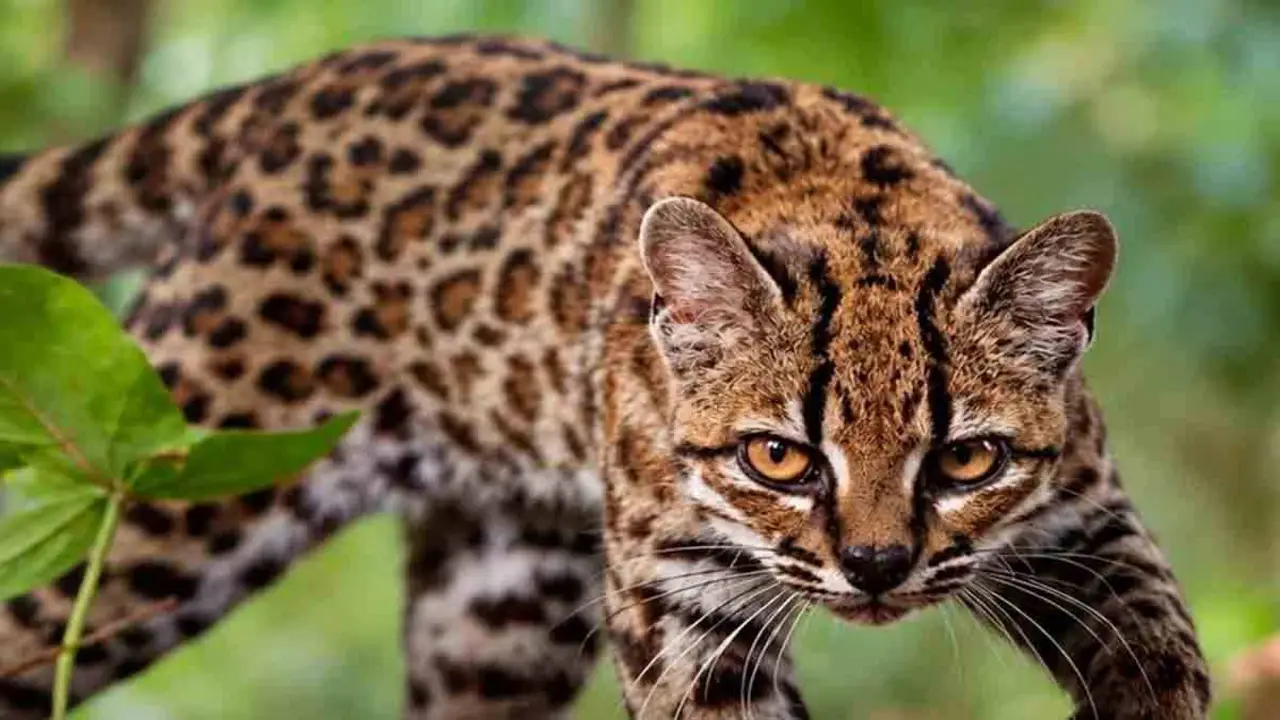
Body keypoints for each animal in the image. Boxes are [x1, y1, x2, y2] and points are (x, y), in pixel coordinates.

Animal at [0, 34, 1210, 719]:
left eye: (967, 460)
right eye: (778, 458)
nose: (874, 568)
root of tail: (291, 86)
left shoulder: (1092, 531)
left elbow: (1168, 665)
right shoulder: (687, 616)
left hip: (496, 610)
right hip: (162, 490)